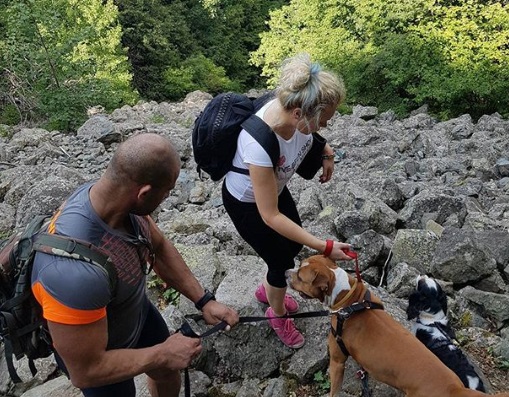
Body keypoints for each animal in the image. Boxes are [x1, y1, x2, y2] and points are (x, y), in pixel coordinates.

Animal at [284, 254, 508, 396]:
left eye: (300, 277)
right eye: (299, 265)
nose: (286, 272)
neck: (350, 300)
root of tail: (455, 389)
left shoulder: (338, 361)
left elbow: (334, 389)